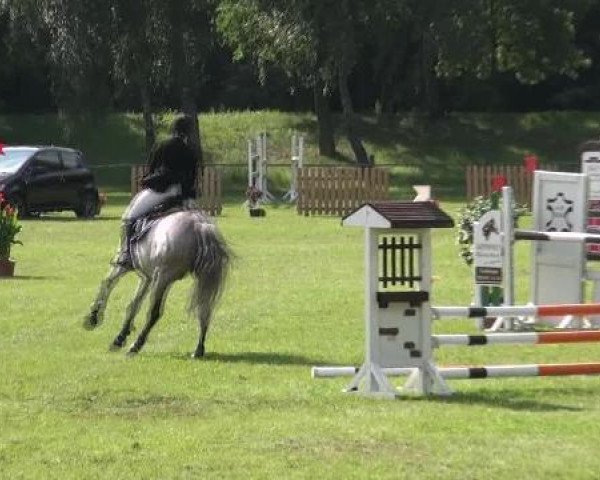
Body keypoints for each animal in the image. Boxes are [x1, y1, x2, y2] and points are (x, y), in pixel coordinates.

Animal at [84, 210, 232, 356]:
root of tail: (200, 226)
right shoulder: (147, 277)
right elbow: (134, 304)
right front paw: (121, 336)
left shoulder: (126, 267)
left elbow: (107, 283)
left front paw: (93, 317)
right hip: (199, 279)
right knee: (204, 309)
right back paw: (199, 350)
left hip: (163, 278)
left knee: (154, 313)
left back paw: (136, 345)